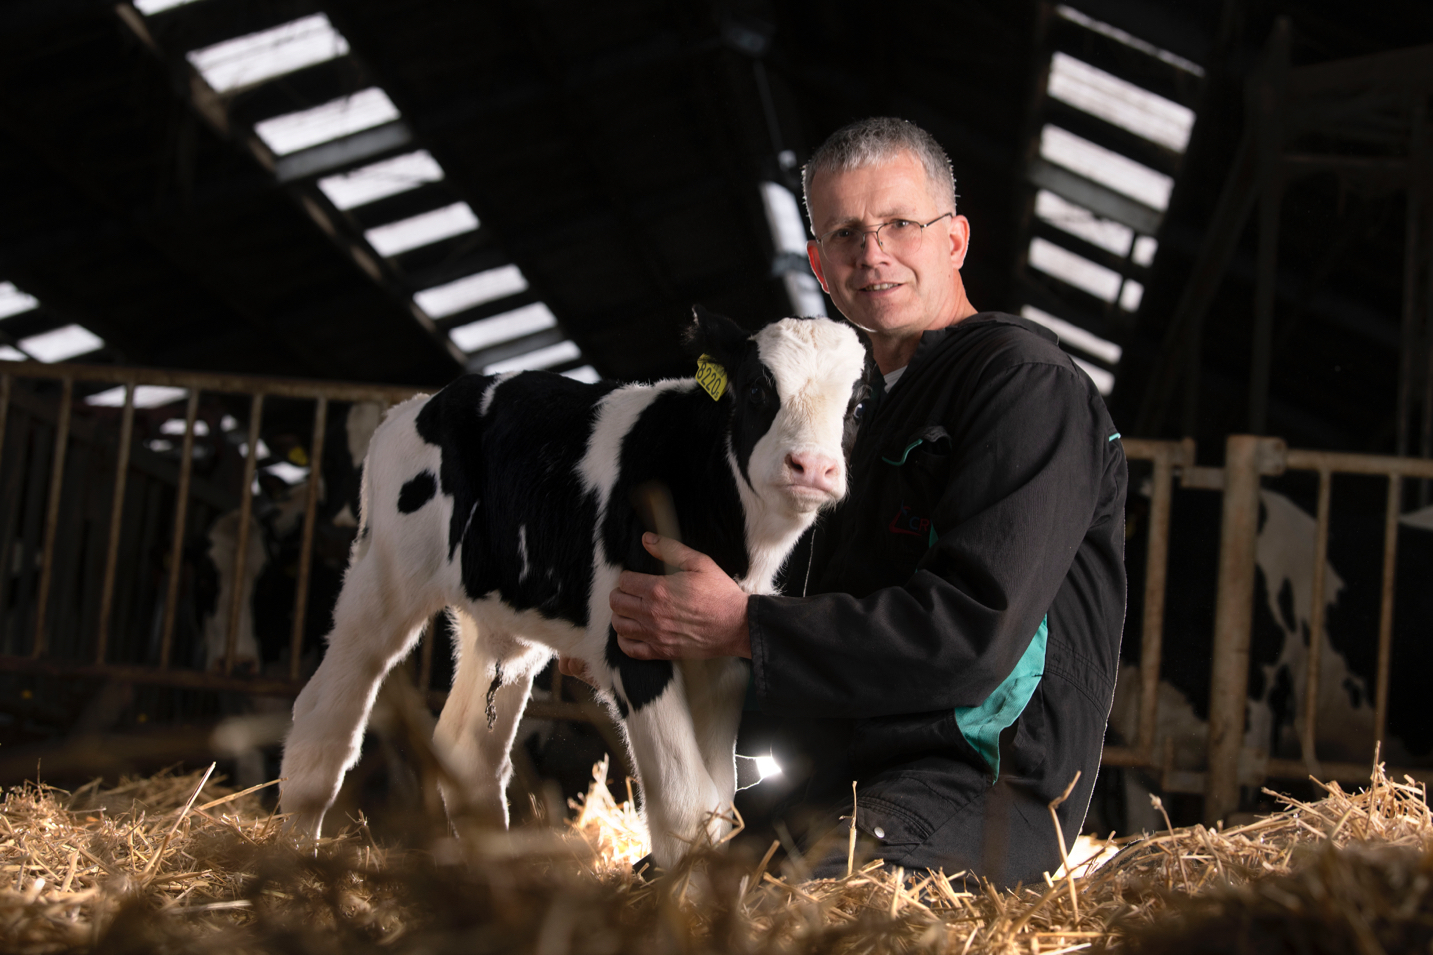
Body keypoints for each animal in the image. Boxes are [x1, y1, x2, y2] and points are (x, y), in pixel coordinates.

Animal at [273, 306, 865, 860]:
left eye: (857, 407)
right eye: (759, 389)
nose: (811, 466)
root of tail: (421, 404)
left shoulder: (723, 657)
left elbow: (718, 805)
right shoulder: (631, 643)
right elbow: (685, 802)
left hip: (502, 621)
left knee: (468, 749)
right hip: (385, 578)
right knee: (326, 714)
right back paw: (296, 851)